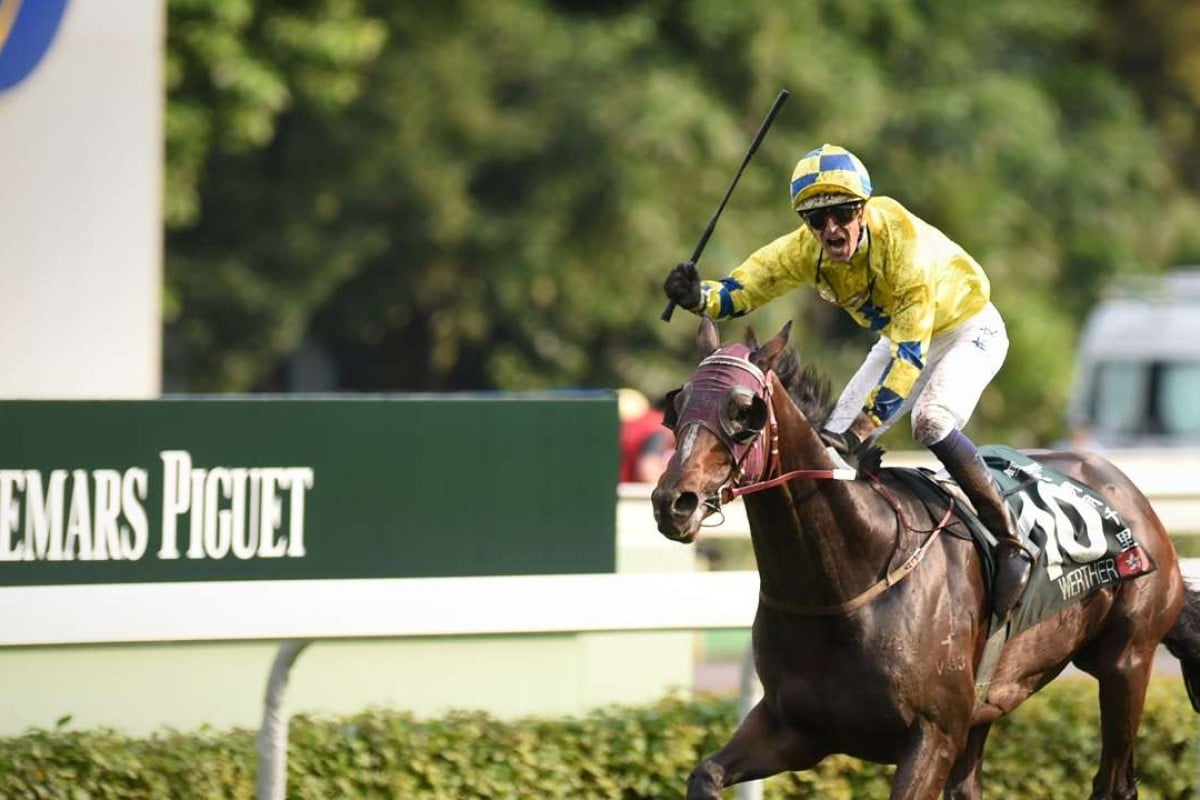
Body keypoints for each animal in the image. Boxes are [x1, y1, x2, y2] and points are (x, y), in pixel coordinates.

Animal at [652, 319, 1200, 800]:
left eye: (744, 411)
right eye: (677, 404)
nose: (672, 502)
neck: (849, 574)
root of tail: (1125, 487)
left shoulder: (932, 734)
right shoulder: (795, 727)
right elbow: (705, 774)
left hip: (1126, 661)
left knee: (1114, 781)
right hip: (987, 706)